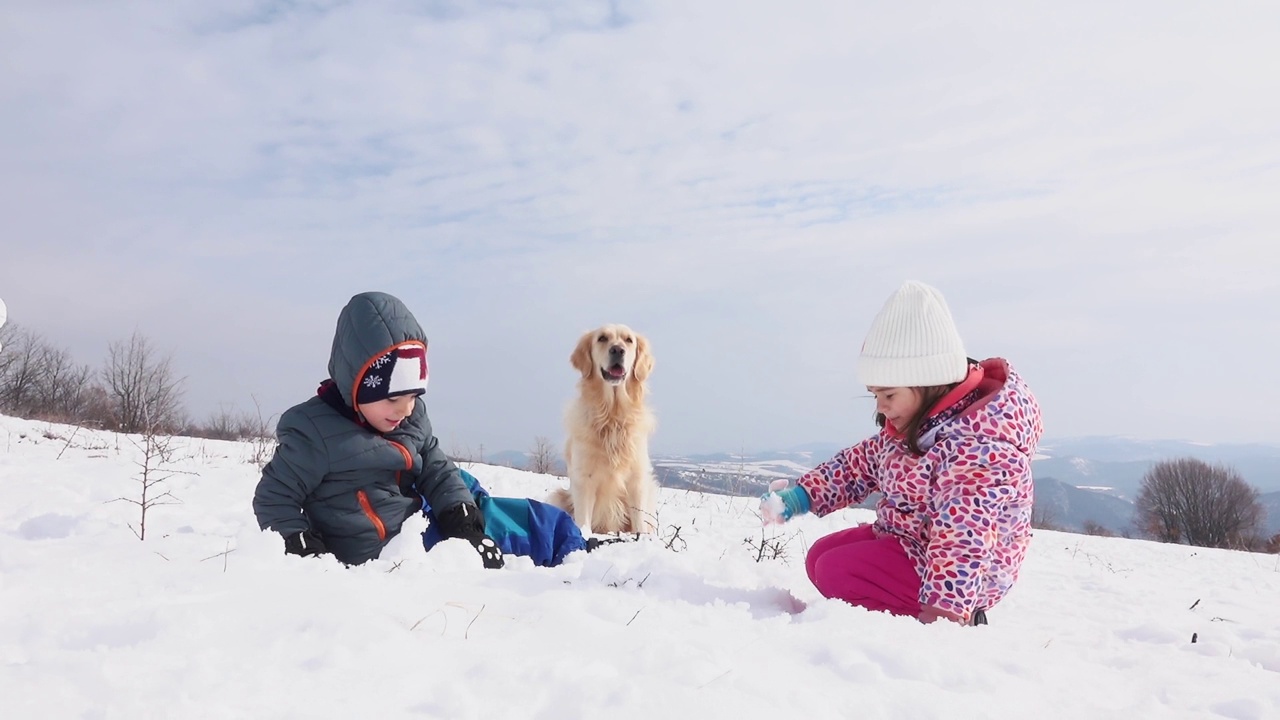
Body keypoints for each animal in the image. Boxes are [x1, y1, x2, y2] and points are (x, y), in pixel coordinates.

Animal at [547, 325, 660, 532]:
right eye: (602, 338)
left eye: (628, 340)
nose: (617, 350)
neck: (612, 415)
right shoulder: (584, 478)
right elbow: (583, 521)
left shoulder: (637, 479)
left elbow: (639, 522)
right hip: (558, 496)